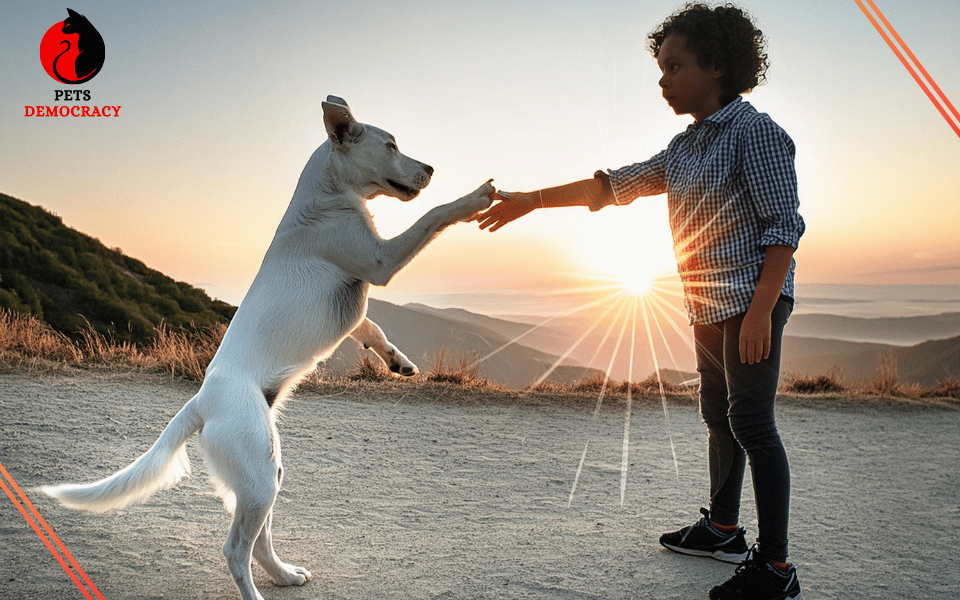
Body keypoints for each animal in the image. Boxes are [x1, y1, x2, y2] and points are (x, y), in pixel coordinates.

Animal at [43, 95, 496, 600]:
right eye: (391, 145)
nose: (431, 168)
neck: (326, 195)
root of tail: (201, 402)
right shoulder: (380, 260)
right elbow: (434, 215)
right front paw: (475, 198)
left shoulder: (360, 299)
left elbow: (372, 328)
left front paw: (398, 362)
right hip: (260, 478)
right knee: (236, 548)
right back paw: (259, 588)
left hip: (266, 471)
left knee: (258, 541)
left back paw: (285, 575)